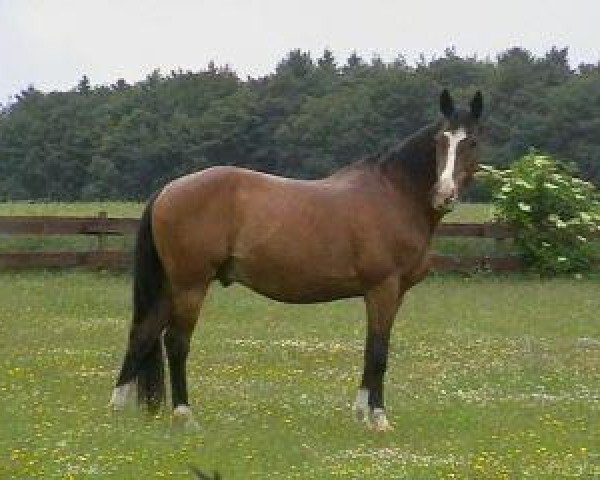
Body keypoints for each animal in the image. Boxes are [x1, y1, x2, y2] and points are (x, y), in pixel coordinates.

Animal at [108, 89, 482, 432]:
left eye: (472, 143)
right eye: (440, 141)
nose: (444, 195)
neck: (393, 194)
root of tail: (168, 190)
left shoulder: (390, 293)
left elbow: (369, 349)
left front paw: (361, 414)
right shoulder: (383, 289)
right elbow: (378, 352)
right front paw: (378, 419)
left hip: (171, 286)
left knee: (142, 335)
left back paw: (117, 408)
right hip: (190, 285)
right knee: (175, 342)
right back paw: (185, 416)